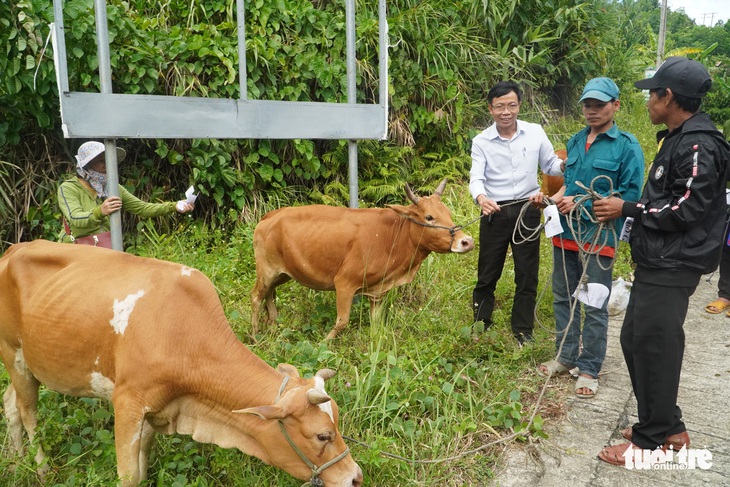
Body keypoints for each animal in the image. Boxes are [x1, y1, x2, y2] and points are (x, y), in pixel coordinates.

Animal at [250, 177, 472, 342]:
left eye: (448, 213)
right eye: (429, 217)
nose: (466, 241)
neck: (392, 236)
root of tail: (269, 215)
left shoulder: (377, 291)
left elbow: (376, 323)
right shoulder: (344, 282)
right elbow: (342, 321)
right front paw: (324, 342)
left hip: (282, 273)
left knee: (269, 294)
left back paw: (272, 325)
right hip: (266, 271)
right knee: (256, 296)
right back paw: (255, 334)